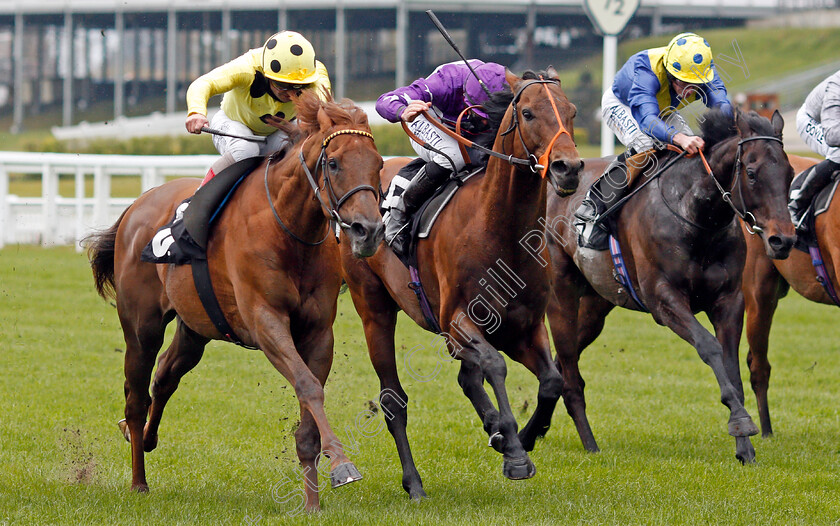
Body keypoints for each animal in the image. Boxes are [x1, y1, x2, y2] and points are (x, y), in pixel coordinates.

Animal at [83, 94, 386, 512]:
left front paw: (312, 501)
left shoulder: (318, 332)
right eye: (334, 162)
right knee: (136, 395)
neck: (288, 229)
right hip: (142, 327)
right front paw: (342, 464)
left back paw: (143, 436)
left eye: (379, 164)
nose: (368, 231)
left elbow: (310, 399)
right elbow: (308, 386)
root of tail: (135, 206)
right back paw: (138, 480)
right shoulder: (265, 321)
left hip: (195, 327)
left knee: (165, 376)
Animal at [338, 69, 580, 500]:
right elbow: (494, 364)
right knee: (393, 400)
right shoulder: (457, 321)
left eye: (571, 112)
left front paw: (523, 436)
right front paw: (515, 453)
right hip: (373, 310)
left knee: (467, 377)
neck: (499, 230)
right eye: (529, 113)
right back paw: (415, 483)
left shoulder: (525, 327)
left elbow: (552, 379)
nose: (569, 167)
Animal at [544, 109, 796, 464]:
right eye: (751, 172)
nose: (782, 240)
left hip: (594, 307)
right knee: (569, 373)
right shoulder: (664, 300)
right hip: (561, 294)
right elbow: (709, 347)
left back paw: (531, 431)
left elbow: (730, 364)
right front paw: (741, 422)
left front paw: (745, 446)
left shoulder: (729, 301)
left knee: (560, 365)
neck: (699, 219)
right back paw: (588, 443)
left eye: (790, 173)